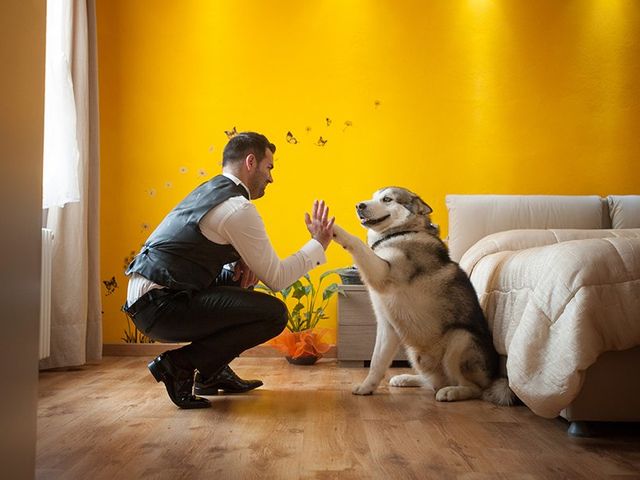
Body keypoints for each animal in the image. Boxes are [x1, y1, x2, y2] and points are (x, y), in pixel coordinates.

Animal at [330, 188, 516, 404]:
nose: (359, 205)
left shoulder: (383, 272)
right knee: (432, 382)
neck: (404, 231)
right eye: (373, 196)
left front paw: (333, 228)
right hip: (414, 351)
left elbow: (357, 242)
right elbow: (377, 362)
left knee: (474, 388)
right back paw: (406, 378)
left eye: (387, 199)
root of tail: (494, 377)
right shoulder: (387, 327)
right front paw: (367, 387)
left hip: (460, 339)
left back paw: (452, 392)